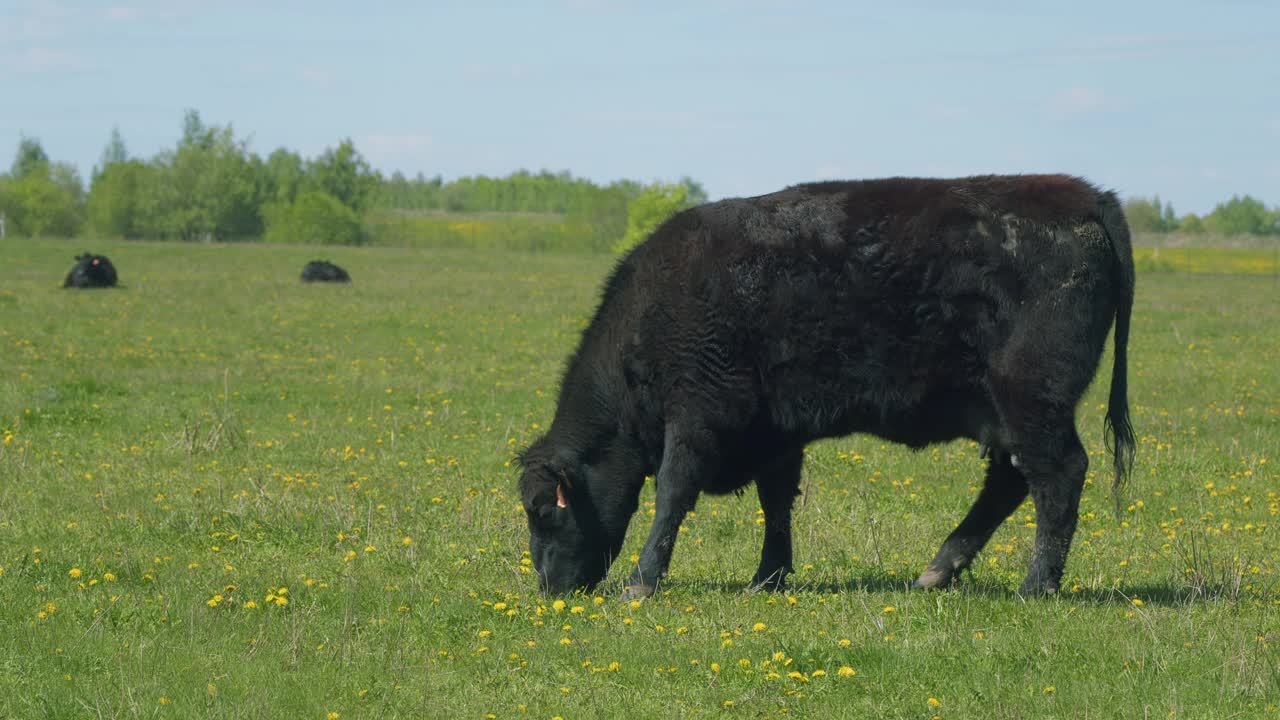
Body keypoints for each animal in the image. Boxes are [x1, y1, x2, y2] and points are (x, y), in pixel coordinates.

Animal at [514, 172, 1136, 594]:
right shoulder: (773, 435)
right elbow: (776, 502)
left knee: (1058, 474)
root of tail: (1087, 196)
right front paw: (767, 577)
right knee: (1010, 482)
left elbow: (672, 494)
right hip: (1004, 415)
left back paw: (1036, 585)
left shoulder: (695, 419)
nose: (550, 588)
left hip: (1031, 401)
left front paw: (642, 582)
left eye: (544, 511)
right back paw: (936, 571)